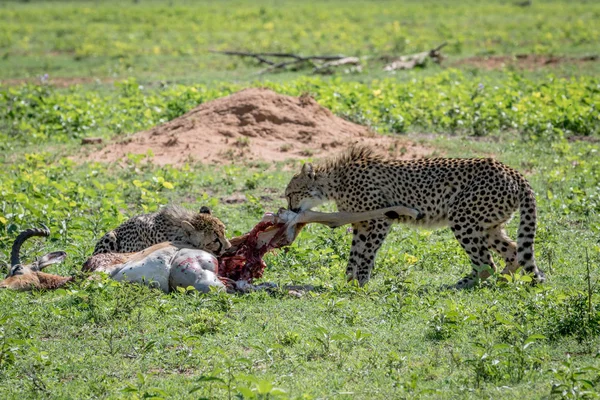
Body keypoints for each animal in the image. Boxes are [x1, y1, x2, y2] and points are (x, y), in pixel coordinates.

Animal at [284, 145, 544, 290]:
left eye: (290, 193)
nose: (290, 208)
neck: (335, 182)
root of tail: (512, 171)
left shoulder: (381, 220)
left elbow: (367, 254)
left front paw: (361, 283)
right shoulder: (361, 224)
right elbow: (354, 254)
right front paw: (348, 282)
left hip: (462, 218)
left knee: (486, 263)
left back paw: (456, 286)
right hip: (488, 225)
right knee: (513, 251)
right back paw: (502, 281)